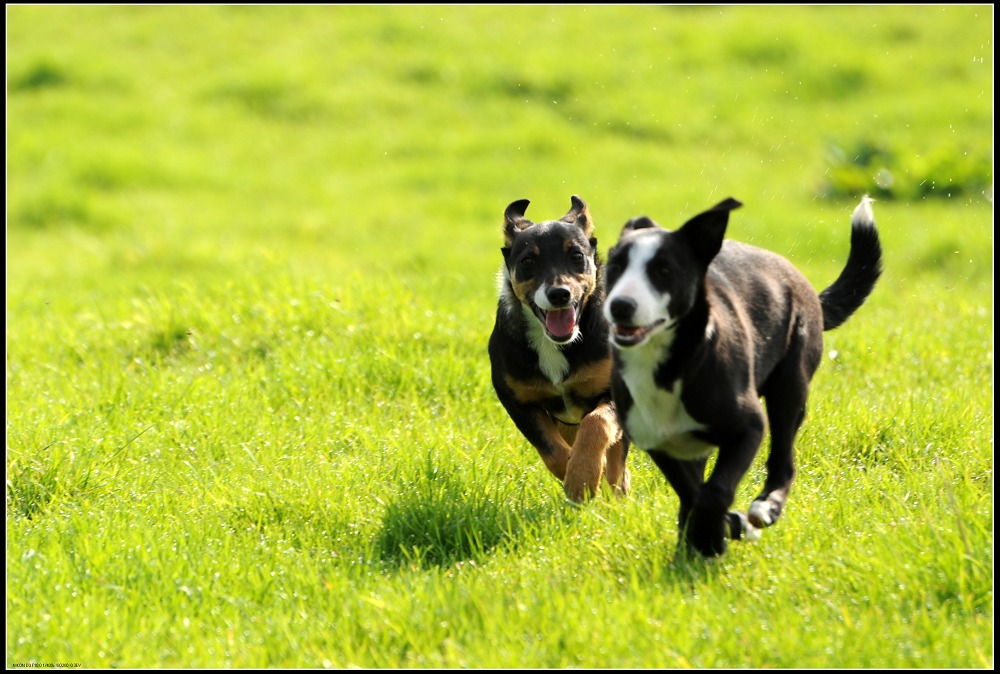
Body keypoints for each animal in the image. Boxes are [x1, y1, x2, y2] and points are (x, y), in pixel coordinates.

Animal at [488, 194, 628, 498]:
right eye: (528, 261)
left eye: (576, 256)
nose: (559, 294)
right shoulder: (516, 399)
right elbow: (550, 449)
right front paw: (576, 479)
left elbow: (597, 424)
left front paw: (584, 475)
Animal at [596, 197, 880, 552]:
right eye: (615, 266)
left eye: (664, 271)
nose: (621, 305)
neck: (670, 367)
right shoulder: (659, 442)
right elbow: (692, 493)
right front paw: (712, 533)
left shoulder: (748, 427)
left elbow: (714, 492)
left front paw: (713, 535)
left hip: (790, 384)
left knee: (783, 460)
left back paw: (766, 507)